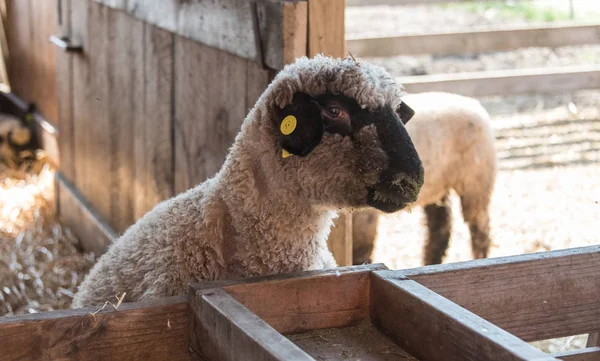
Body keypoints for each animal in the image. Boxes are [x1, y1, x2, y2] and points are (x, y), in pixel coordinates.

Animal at [352, 90, 496, 264]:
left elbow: (360, 251)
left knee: (479, 228)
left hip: (475, 179)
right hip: (438, 186)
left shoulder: (363, 214)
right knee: (441, 227)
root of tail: (475, 104)